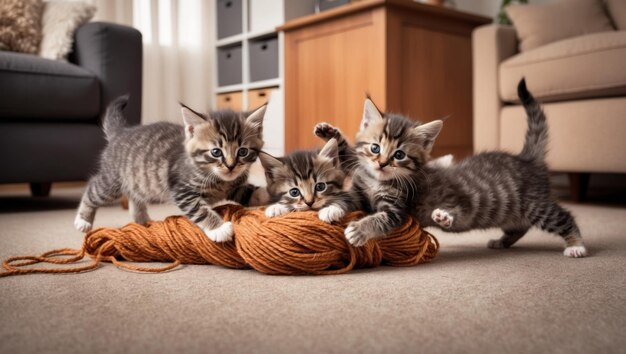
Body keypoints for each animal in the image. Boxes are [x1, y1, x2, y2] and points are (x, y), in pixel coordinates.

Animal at [73, 95, 266, 242]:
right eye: (216, 152)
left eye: (243, 151)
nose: (231, 166)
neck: (219, 180)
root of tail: (120, 133)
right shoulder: (182, 191)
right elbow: (200, 209)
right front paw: (218, 229)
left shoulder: (235, 186)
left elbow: (248, 192)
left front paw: (268, 194)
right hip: (111, 182)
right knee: (92, 188)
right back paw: (82, 220)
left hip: (138, 180)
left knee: (134, 196)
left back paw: (143, 220)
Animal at [316, 79, 584, 258]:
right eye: (374, 148)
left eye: (399, 155)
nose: (382, 164)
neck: (377, 181)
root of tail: (527, 159)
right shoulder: (360, 187)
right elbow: (347, 183)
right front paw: (330, 209)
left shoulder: (398, 210)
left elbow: (380, 219)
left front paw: (358, 230)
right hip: (512, 213)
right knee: (520, 227)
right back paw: (501, 241)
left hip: (534, 204)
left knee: (563, 216)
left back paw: (576, 245)